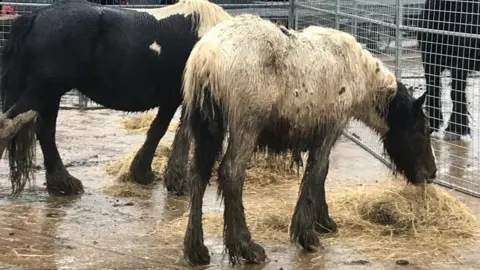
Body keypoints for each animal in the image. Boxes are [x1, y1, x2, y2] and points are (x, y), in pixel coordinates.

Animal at [0, 0, 232, 196]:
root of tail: (36, 16)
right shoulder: (179, 98)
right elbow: (177, 133)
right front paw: (172, 180)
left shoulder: (173, 100)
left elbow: (161, 131)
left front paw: (144, 173)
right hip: (44, 91)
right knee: (12, 124)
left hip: (49, 96)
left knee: (45, 131)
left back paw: (62, 184)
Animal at [416, 0, 480, 139]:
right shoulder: (430, 57)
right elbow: (433, 88)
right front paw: (433, 122)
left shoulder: (461, 60)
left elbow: (456, 92)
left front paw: (458, 128)